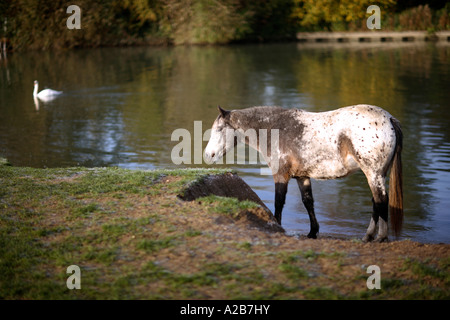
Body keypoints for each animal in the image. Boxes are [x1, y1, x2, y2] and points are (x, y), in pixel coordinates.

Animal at [205, 105, 404, 242]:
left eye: (219, 129)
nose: (208, 155)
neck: (276, 129)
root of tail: (389, 119)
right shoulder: (302, 177)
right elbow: (308, 202)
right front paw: (312, 232)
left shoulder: (281, 176)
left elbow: (279, 202)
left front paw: (278, 226)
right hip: (376, 175)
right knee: (376, 202)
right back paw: (368, 236)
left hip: (373, 174)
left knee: (381, 200)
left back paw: (380, 237)